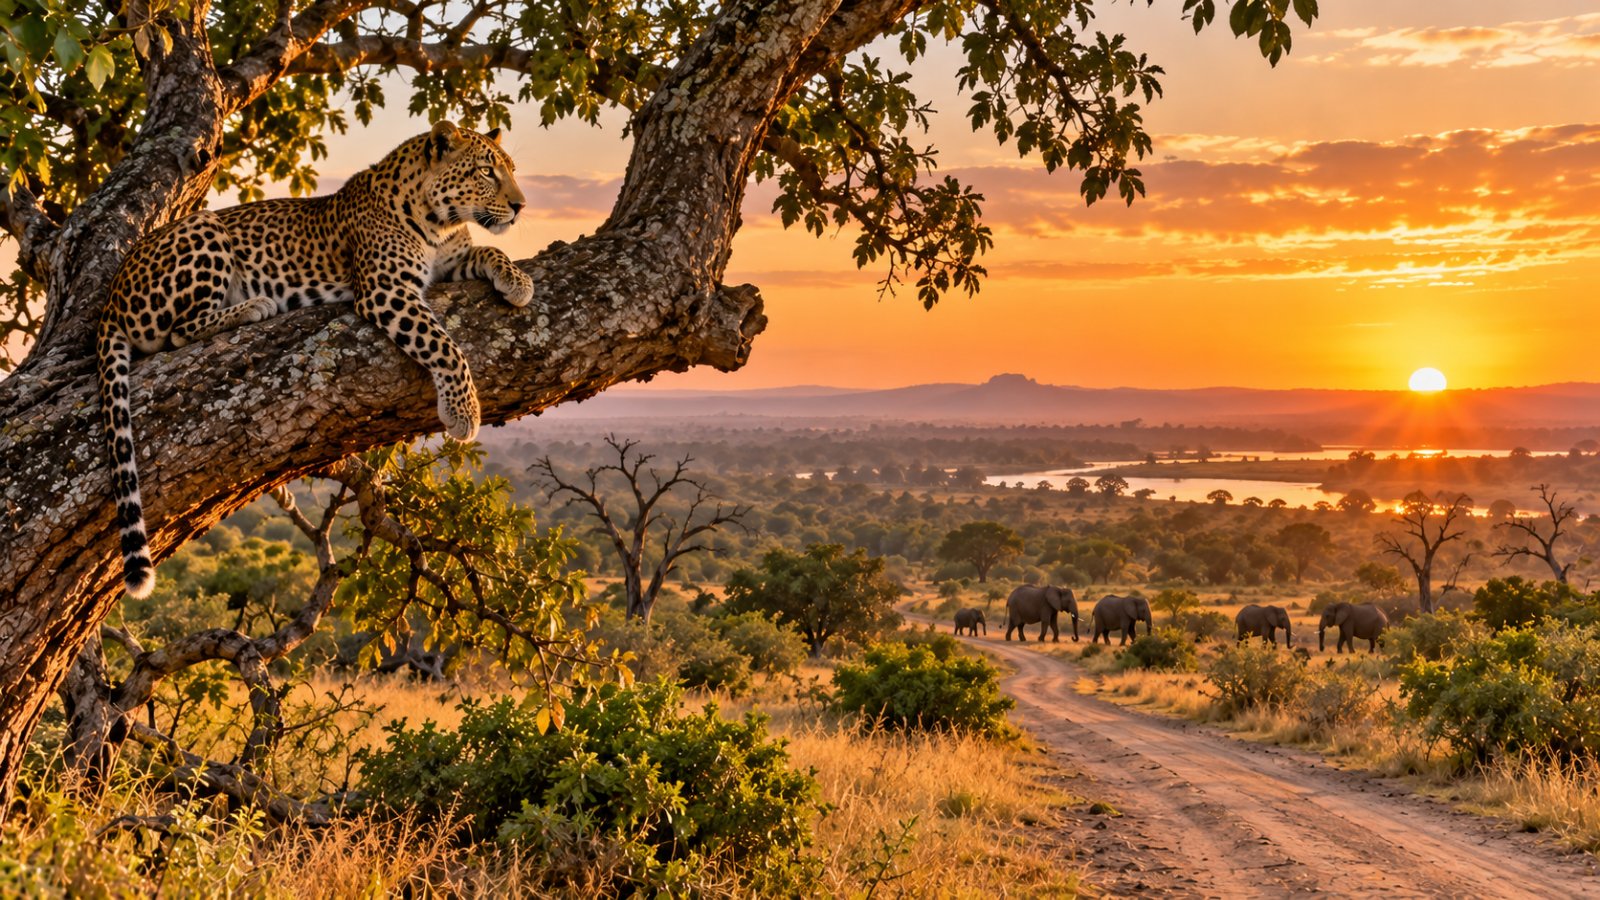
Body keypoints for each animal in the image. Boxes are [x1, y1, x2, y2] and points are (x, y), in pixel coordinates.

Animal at [97, 120, 534, 599]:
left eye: (511, 170)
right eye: (486, 172)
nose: (520, 206)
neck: (440, 223)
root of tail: (112, 296)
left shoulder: (451, 261)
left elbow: (490, 251)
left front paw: (518, 281)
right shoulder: (387, 290)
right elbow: (442, 344)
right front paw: (463, 411)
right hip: (205, 231)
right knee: (178, 330)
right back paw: (253, 306)